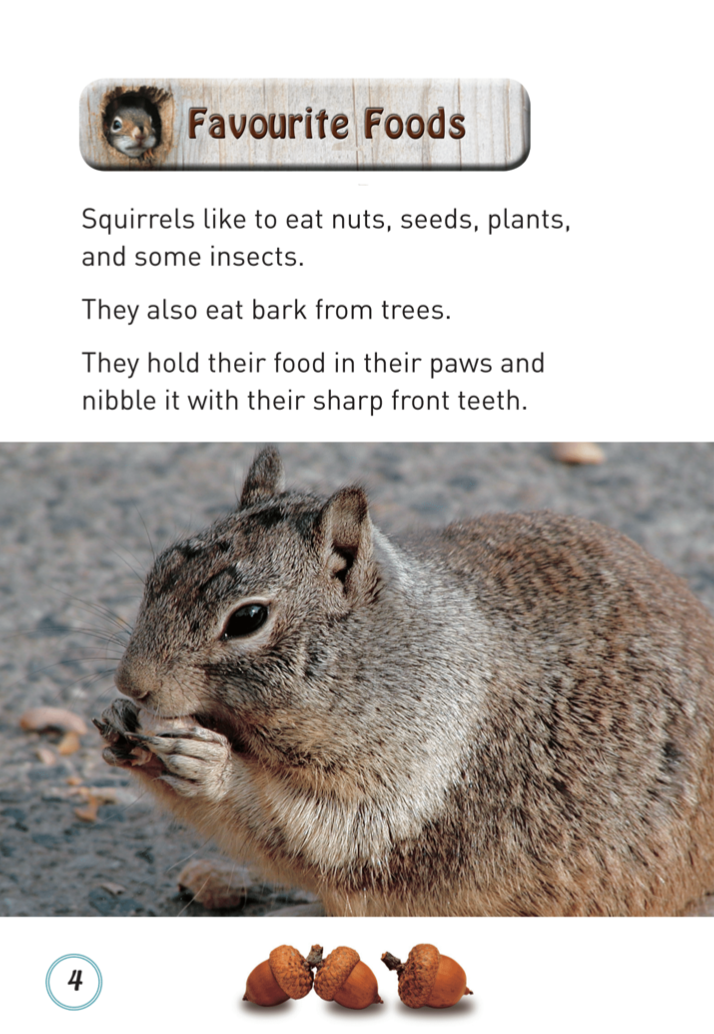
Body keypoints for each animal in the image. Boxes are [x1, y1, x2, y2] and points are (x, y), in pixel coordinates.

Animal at [96, 447, 714, 916]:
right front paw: (122, 728)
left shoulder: (409, 776)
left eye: (247, 618)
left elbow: (314, 828)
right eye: (159, 569)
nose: (132, 683)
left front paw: (210, 765)